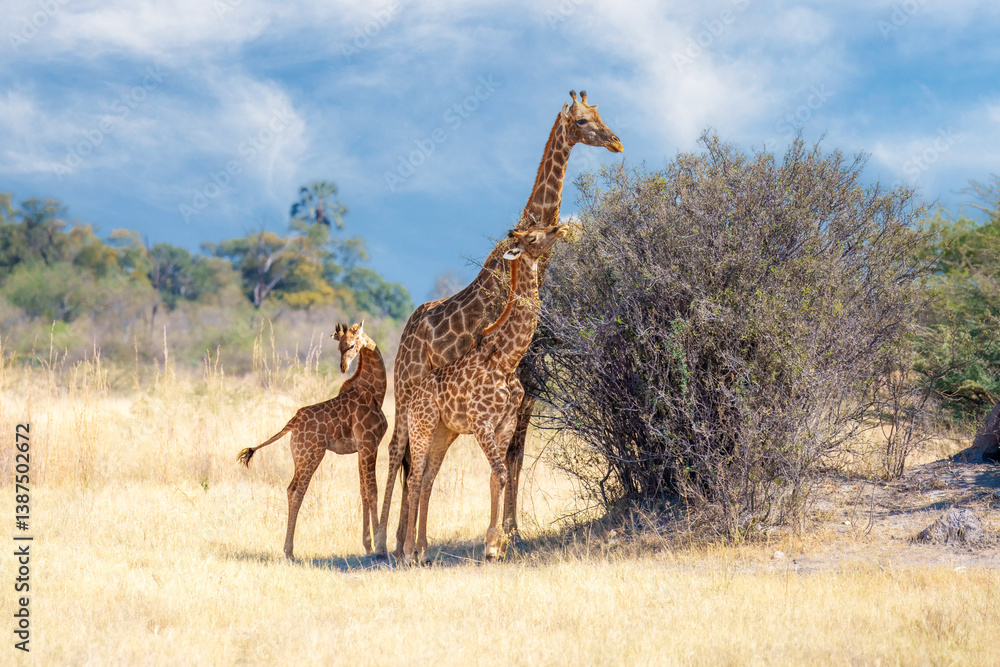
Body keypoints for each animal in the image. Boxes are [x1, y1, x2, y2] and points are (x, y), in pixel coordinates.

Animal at [237, 321, 388, 559]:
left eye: (351, 345)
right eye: (339, 347)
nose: (343, 367)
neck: (375, 391)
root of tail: (292, 423)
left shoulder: (361, 449)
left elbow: (364, 491)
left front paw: (368, 546)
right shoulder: (369, 444)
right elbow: (372, 491)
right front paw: (380, 547)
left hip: (303, 457)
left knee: (292, 489)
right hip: (310, 455)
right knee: (295, 490)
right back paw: (289, 552)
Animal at [402, 224, 567, 564]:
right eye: (533, 236)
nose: (560, 227)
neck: (507, 358)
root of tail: (413, 396)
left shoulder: (505, 423)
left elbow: (497, 475)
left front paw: (498, 544)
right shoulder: (482, 424)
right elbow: (502, 473)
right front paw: (491, 545)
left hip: (443, 433)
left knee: (427, 479)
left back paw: (424, 549)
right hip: (422, 426)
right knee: (414, 477)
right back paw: (409, 551)